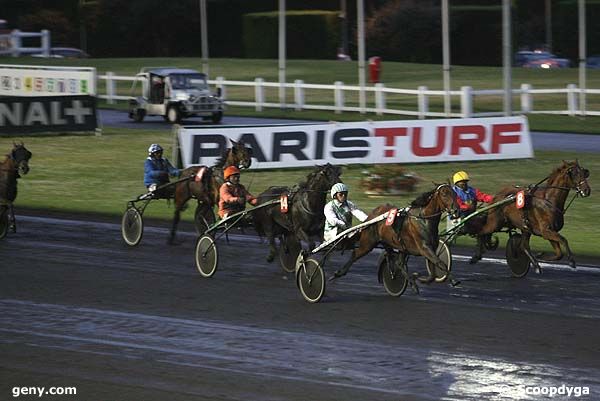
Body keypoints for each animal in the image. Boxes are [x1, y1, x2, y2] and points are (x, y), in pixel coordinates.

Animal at [332, 184, 460, 284]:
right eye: (444, 194)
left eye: (454, 193)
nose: (456, 211)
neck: (424, 219)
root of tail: (371, 217)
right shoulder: (424, 248)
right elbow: (440, 263)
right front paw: (454, 280)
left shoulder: (430, 248)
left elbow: (433, 272)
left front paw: (419, 278)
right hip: (368, 243)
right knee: (355, 254)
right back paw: (338, 273)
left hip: (394, 244)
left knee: (398, 262)